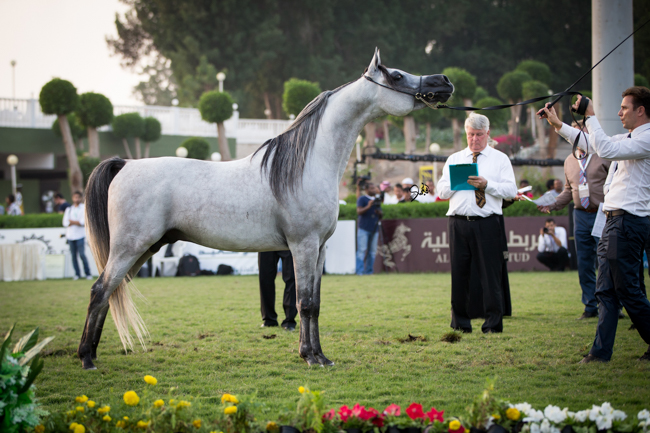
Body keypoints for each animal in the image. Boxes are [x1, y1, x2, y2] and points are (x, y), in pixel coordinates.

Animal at [78, 48, 454, 370]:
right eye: (396, 75)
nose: (444, 82)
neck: (307, 165)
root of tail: (125, 164)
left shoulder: (319, 249)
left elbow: (315, 304)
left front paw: (320, 356)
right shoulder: (303, 246)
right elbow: (304, 302)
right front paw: (310, 358)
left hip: (142, 249)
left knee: (109, 292)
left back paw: (92, 353)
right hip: (130, 247)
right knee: (99, 291)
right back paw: (86, 359)